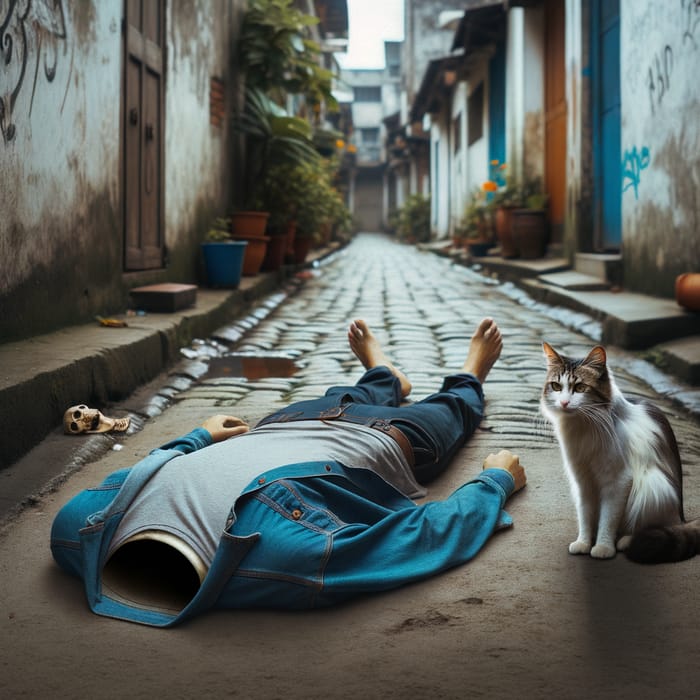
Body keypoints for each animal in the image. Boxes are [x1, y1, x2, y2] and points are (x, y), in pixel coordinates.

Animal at [540, 342, 696, 568]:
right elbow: (586, 516)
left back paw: (626, 541)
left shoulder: (617, 481)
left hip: (653, 486)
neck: (584, 425)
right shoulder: (583, 480)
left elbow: (608, 519)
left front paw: (603, 547)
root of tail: (682, 517)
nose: (564, 403)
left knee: (657, 526)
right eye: (556, 387)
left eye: (580, 388)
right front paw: (584, 542)